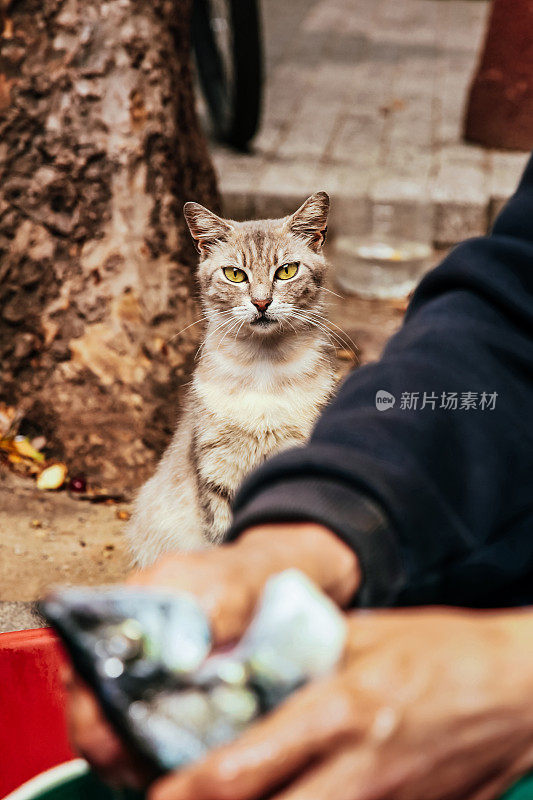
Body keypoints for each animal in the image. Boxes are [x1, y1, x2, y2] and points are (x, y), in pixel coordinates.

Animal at [128, 192, 336, 568]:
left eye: (287, 271)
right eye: (234, 274)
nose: (261, 302)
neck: (264, 371)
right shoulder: (216, 470)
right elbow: (222, 537)